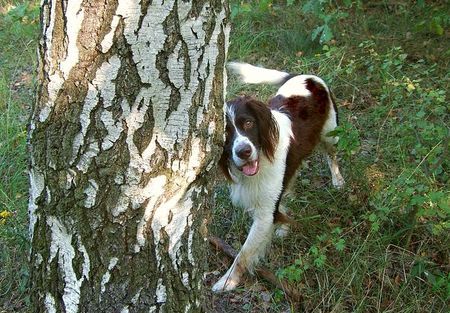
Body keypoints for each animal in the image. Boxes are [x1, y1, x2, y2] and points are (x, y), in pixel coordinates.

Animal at [213, 62, 346, 292]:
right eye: (226, 133)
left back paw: (337, 180)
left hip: (330, 134)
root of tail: (306, 76)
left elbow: (243, 253)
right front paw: (284, 225)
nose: (244, 152)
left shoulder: (264, 215)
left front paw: (228, 280)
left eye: (248, 123)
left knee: (332, 156)